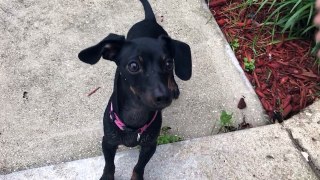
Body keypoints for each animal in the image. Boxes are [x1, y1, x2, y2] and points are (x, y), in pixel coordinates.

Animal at [78, 0, 191, 179]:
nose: (164, 97)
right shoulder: (108, 142)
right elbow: (109, 165)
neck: (136, 114)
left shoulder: (150, 145)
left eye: (167, 63)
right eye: (133, 66)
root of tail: (149, 20)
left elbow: (138, 167)